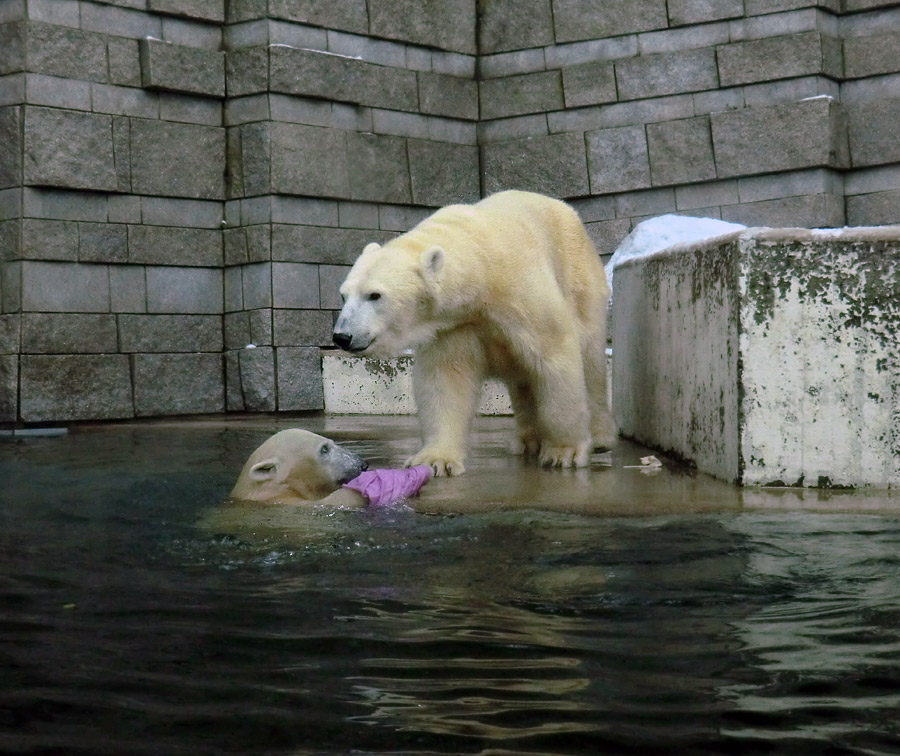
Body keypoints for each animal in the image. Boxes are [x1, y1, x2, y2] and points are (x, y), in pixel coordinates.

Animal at [334, 189, 616, 476]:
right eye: (344, 295)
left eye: (375, 295)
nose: (342, 337)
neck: (482, 267)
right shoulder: (453, 326)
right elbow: (446, 379)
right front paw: (435, 460)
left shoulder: (519, 294)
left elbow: (553, 355)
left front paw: (563, 453)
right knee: (523, 381)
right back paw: (526, 441)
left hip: (578, 276)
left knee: (590, 360)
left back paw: (600, 438)